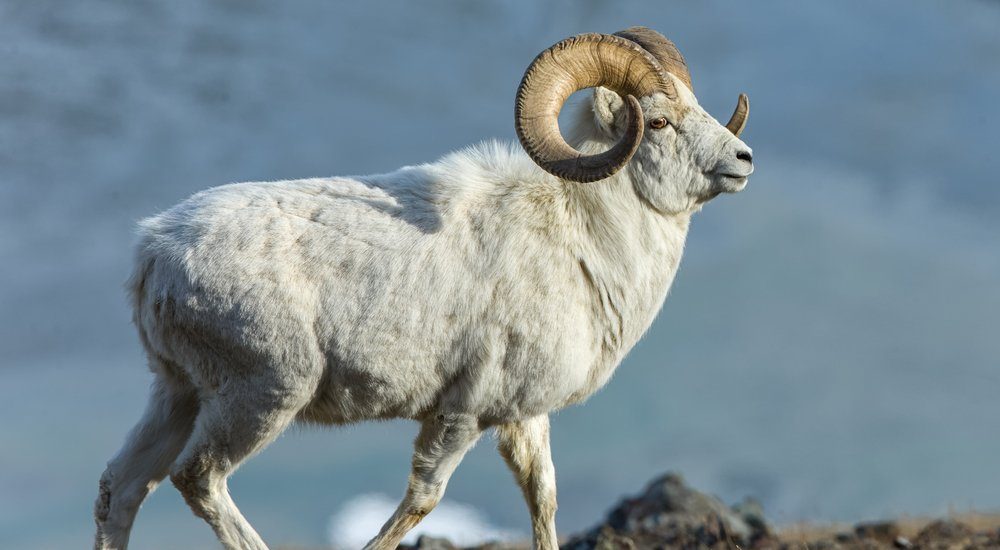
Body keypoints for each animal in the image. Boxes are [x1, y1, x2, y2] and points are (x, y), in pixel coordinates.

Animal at [94, 27, 752, 550]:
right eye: (658, 121)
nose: (743, 159)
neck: (581, 235)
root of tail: (154, 250)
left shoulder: (524, 417)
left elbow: (543, 498)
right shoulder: (461, 413)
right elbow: (422, 501)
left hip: (178, 394)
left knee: (120, 488)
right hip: (261, 396)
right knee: (198, 479)